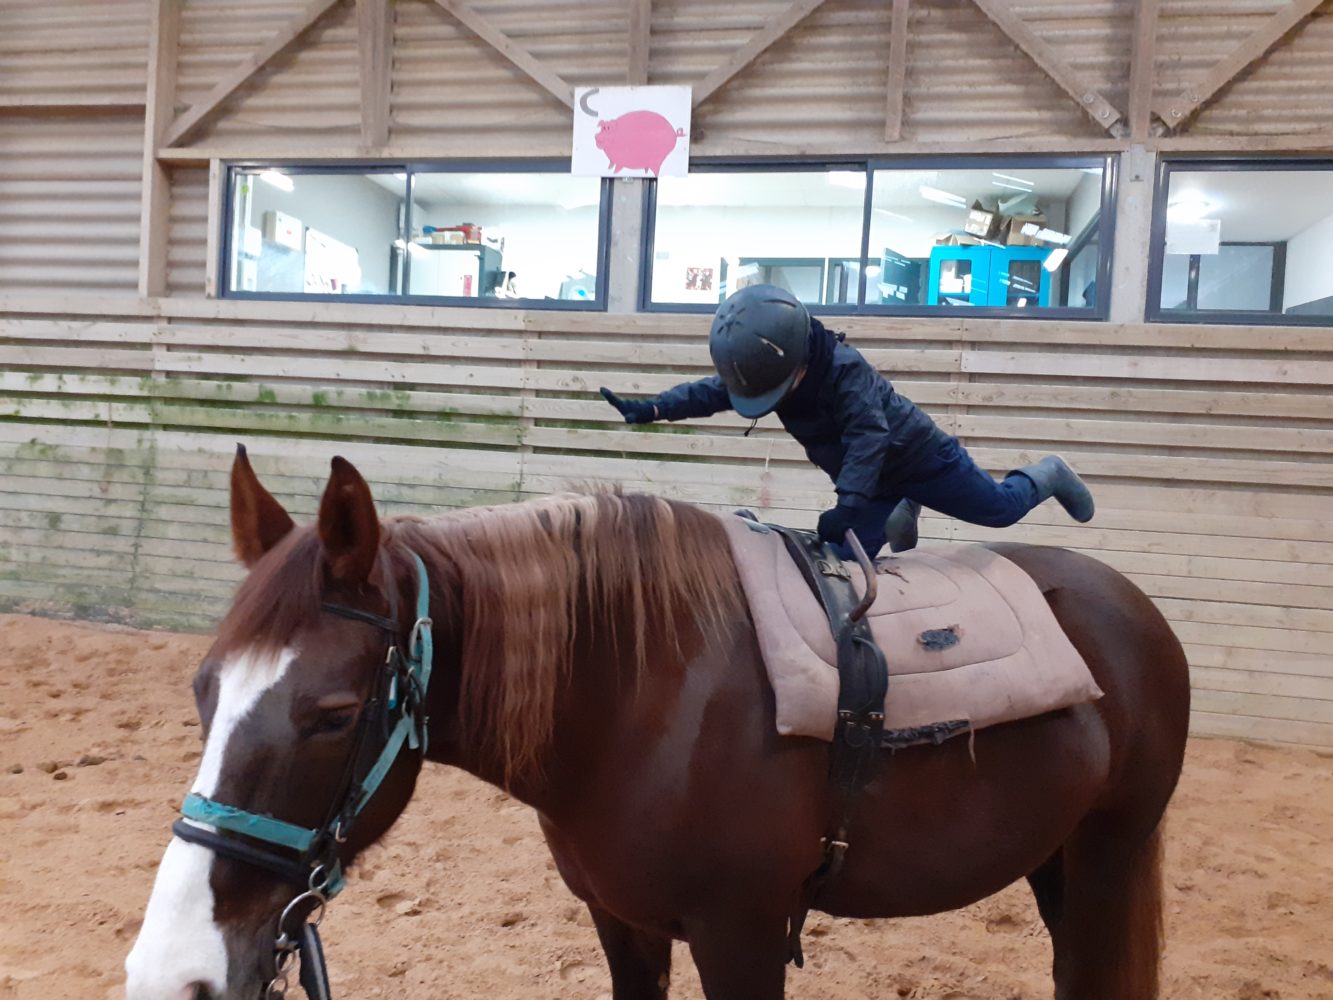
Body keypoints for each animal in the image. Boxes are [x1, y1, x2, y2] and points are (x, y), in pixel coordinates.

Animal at [122, 453, 1189, 1000]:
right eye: (203, 690)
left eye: (334, 713)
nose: (173, 972)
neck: (639, 704)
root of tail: (1127, 604)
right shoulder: (624, 924)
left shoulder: (742, 935)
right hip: (1054, 861)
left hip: (1108, 854)